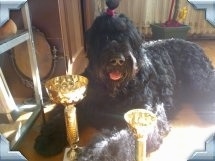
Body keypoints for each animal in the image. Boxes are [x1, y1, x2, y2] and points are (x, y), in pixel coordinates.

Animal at [34, 0, 215, 158]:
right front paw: (49, 137)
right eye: (103, 36)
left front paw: (93, 156)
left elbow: (117, 142)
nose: (117, 60)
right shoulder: (83, 101)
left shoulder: (143, 119)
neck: (116, 90)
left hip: (200, 80)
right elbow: (61, 115)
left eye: (127, 36)